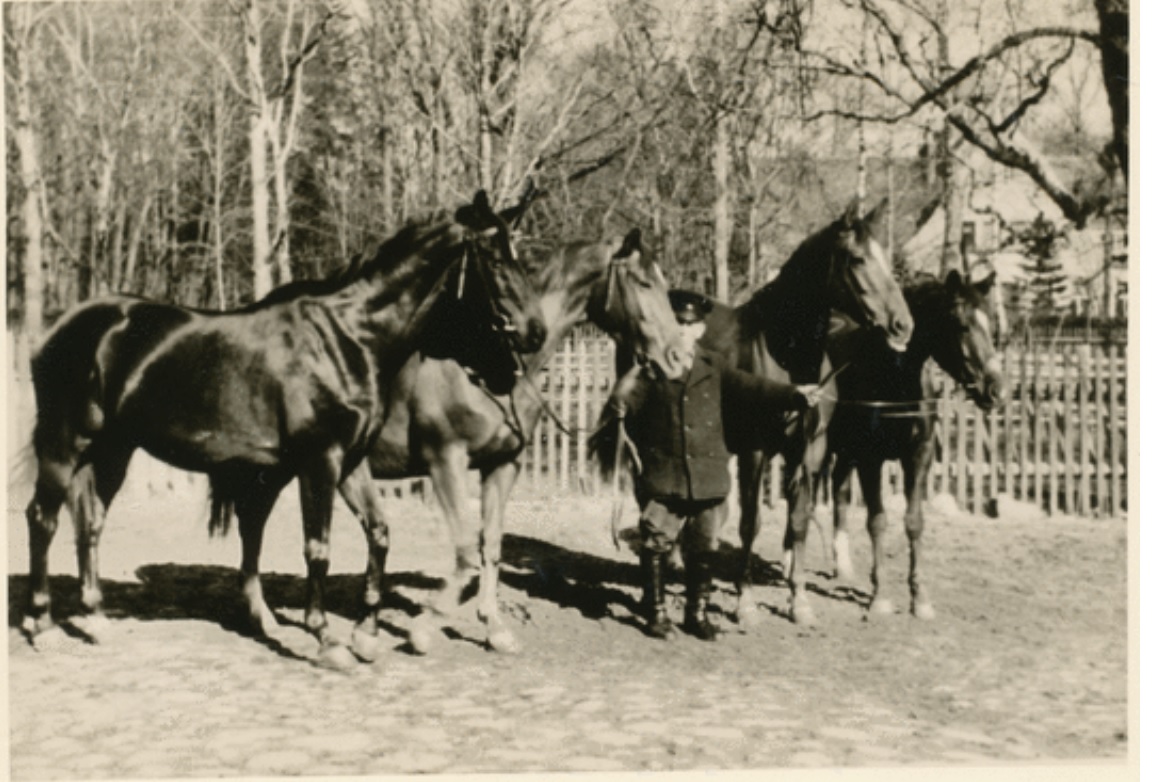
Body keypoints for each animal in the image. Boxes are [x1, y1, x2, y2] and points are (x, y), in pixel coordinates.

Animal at [24, 190, 546, 667]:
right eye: (494, 259)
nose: (535, 332)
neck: (348, 338)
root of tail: (60, 329)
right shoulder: (320, 461)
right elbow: (318, 548)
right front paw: (328, 641)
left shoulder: (350, 462)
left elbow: (379, 533)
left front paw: (366, 637)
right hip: (64, 444)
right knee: (42, 519)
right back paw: (42, 625)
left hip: (113, 449)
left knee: (91, 521)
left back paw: (95, 620)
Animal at [334, 229, 691, 658]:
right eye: (642, 282)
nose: (678, 358)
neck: (487, 365)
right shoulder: (446, 463)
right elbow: (466, 551)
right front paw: (423, 628)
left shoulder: (503, 465)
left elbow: (491, 545)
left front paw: (495, 628)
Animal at [663, 199, 912, 626]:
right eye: (857, 258)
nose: (902, 325)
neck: (789, 352)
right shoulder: (756, 450)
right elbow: (751, 523)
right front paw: (745, 603)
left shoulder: (808, 452)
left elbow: (797, 523)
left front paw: (799, 601)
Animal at [824, 271, 1004, 621]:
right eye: (959, 323)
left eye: (991, 323)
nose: (995, 389)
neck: (895, 376)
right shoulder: (870, 459)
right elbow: (877, 521)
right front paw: (880, 596)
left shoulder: (918, 457)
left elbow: (914, 523)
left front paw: (919, 597)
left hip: (845, 452)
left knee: (839, 491)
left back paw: (843, 565)